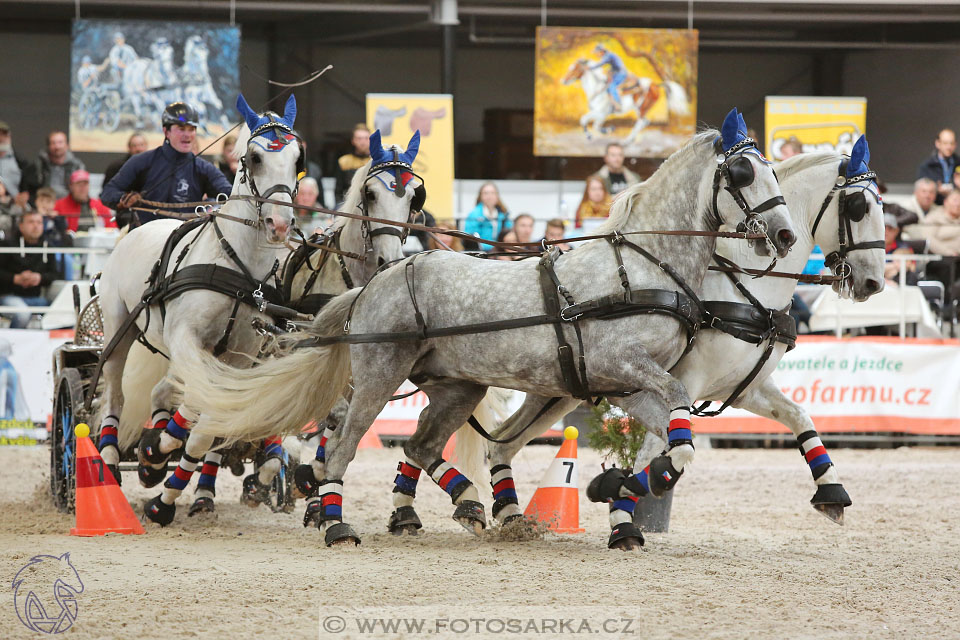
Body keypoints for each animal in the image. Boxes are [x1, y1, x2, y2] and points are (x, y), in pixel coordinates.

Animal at [174, 107, 804, 548]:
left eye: (774, 169)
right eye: (743, 171)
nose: (785, 235)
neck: (641, 267)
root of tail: (378, 280)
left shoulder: (626, 387)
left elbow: (678, 438)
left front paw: (619, 490)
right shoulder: (621, 365)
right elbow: (676, 421)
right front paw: (628, 492)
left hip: (457, 387)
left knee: (421, 445)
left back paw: (468, 507)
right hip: (377, 377)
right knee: (340, 448)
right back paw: (335, 524)